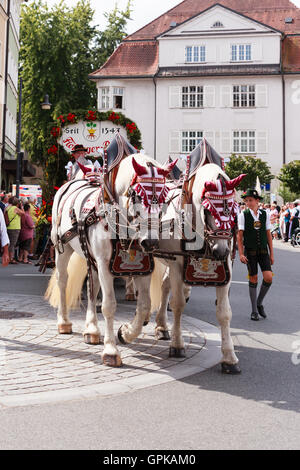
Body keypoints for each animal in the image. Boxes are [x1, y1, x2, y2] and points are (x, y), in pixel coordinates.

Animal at [46, 154, 177, 368]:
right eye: (137, 196)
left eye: (164, 198)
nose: (150, 241)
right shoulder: (104, 264)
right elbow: (108, 305)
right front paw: (111, 351)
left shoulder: (142, 267)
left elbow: (144, 306)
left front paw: (126, 332)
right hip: (62, 250)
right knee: (63, 281)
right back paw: (64, 322)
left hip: (91, 259)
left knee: (92, 288)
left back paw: (91, 329)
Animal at [118, 162, 246, 374]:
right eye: (209, 210)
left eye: (233, 211)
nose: (220, 251)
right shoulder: (177, 263)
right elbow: (178, 304)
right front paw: (177, 346)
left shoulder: (225, 266)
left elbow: (224, 312)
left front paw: (229, 358)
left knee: (164, 286)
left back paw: (161, 326)